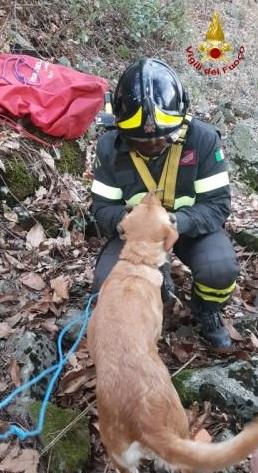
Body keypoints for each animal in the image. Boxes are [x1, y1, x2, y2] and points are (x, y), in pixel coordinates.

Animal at [87, 193, 258, 472]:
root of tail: (144, 423)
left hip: (121, 459)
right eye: (154, 207)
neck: (137, 261)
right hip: (179, 426)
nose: (151, 194)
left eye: (140, 207)